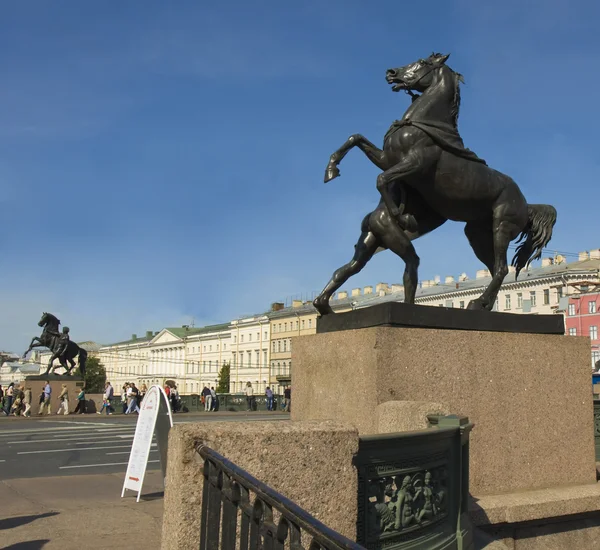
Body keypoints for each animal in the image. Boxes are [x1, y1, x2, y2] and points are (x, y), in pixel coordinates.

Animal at [314, 56, 556, 316]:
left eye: (421, 62)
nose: (391, 73)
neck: (422, 125)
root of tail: (526, 204)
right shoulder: (387, 159)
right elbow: (356, 138)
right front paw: (331, 169)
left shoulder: (414, 163)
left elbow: (381, 178)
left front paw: (401, 216)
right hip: (477, 235)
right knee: (495, 270)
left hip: (500, 227)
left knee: (499, 269)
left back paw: (476, 303)